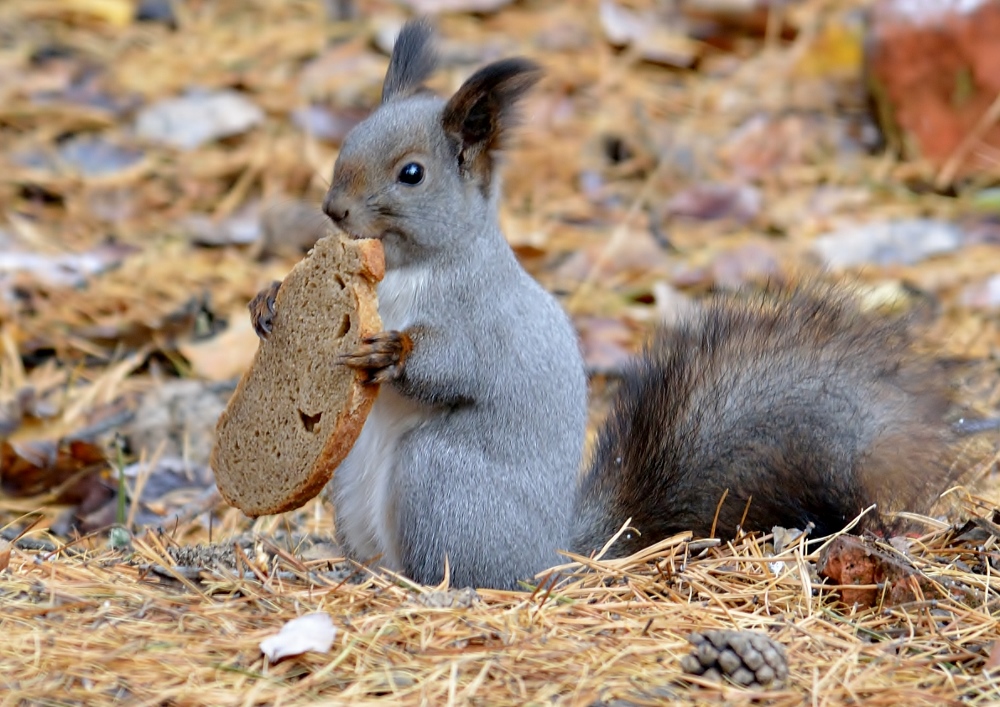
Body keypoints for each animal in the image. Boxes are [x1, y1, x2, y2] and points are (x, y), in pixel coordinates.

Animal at [248, 18, 976, 592]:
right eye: (349, 139)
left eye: (411, 174)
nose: (333, 209)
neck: (406, 269)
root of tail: (554, 556)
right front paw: (268, 304)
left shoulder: (485, 320)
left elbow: (458, 366)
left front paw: (391, 348)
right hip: (348, 481)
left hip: (442, 482)